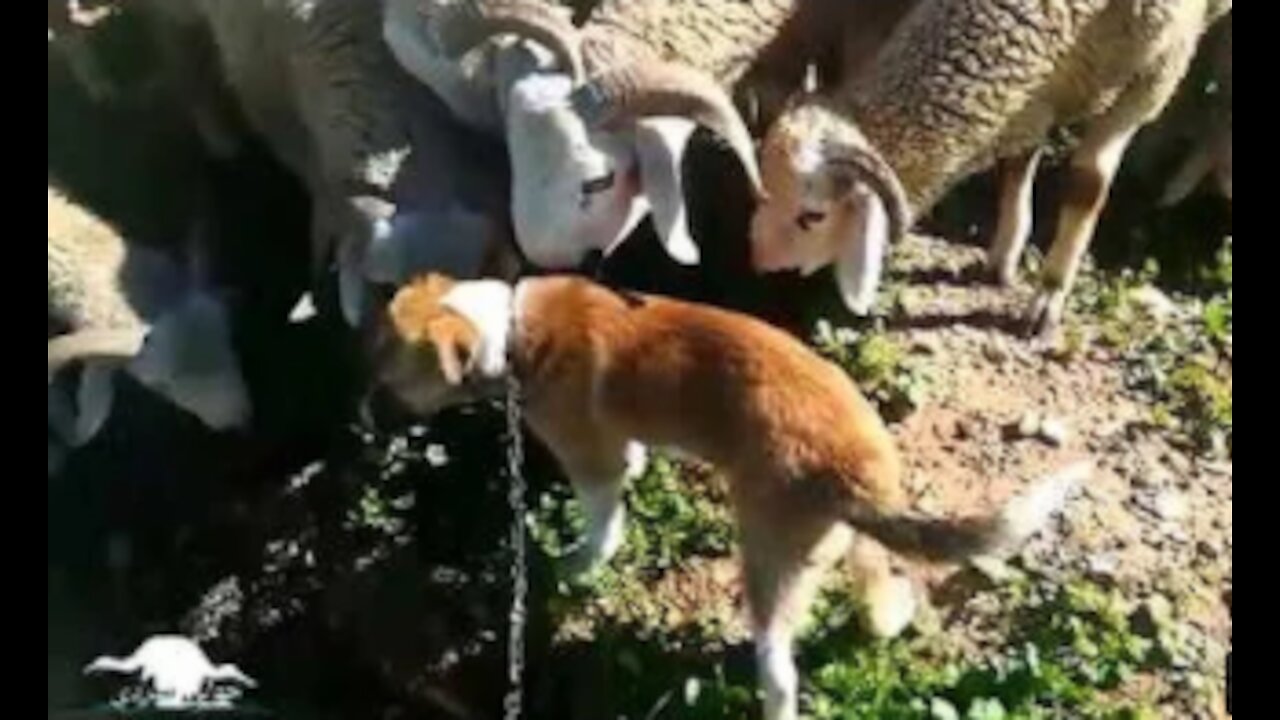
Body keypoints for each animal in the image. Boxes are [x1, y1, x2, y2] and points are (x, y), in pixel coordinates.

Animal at [368, 272, 1080, 717]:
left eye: (391, 378)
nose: (366, 415)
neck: (508, 327)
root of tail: (852, 475)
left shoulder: (592, 462)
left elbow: (602, 528)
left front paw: (574, 566)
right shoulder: (621, 447)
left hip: (767, 566)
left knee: (780, 669)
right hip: (852, 543)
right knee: (876, 601)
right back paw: (889, 615)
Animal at [752, 0, 1233, 335]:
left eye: (813, 216)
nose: (756, 259)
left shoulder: (1154, 75)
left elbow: (1088, 182)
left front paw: (1049, 296)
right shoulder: (1044, 83)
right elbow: (1019, 163)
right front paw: (1004, 257)